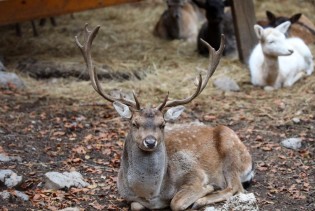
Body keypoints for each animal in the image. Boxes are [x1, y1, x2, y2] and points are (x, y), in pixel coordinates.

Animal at [76, 24, 254, 209]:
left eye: (162, 124)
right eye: (134, 123)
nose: (150, 141)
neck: (152, 195)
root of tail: (249, 163)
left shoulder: (194, 173)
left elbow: (176, 202)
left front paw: (206, 189)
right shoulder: (128, 196)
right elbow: (136, 205)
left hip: (231, 150)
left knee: (236, 187)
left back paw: (204, 198)